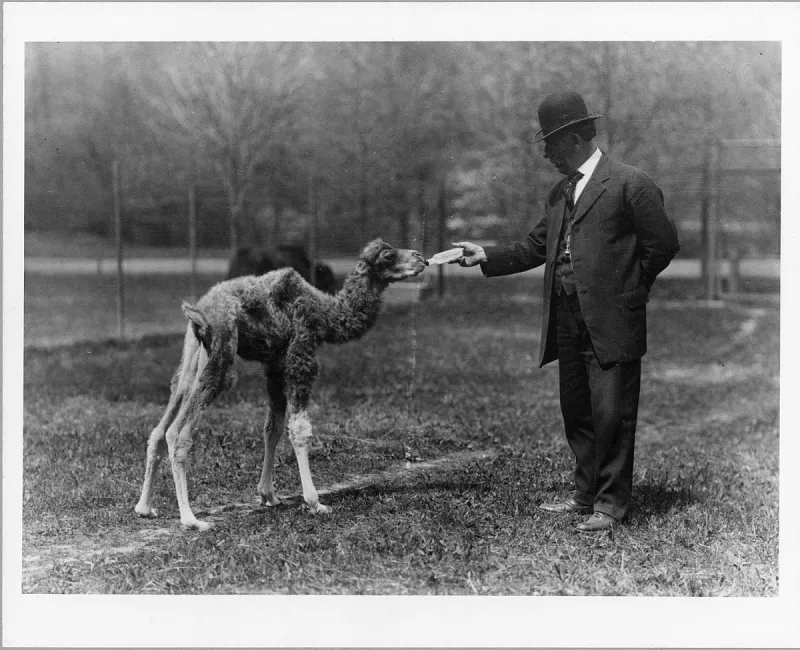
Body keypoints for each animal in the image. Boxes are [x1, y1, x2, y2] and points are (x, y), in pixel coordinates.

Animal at [134, 237, 428, 528]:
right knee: (178, 434)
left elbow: (272, 427)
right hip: (220, 357)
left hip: (190, 361)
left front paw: (269, 495)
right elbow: (299, 428)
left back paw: (145, 508)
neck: (326, 312)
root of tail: (198, 314)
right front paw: (315, 502)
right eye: (388, 256)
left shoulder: (275, 364)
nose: (421, 257)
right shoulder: (301, 352)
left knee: (160, 428)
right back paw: (191, 519)